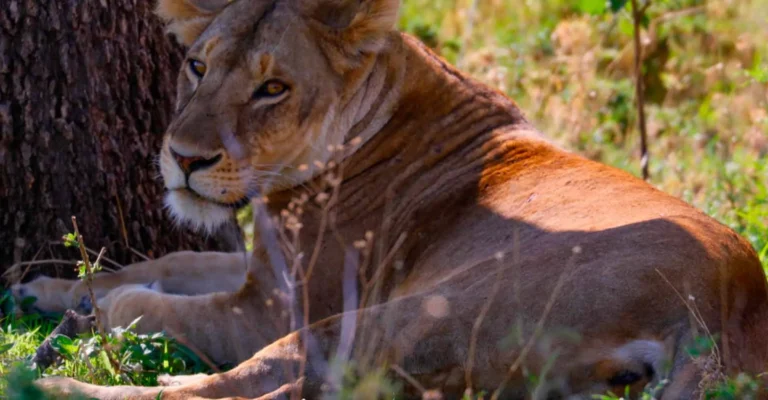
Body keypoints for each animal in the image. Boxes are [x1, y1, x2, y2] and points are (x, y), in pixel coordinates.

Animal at [36, 0, 768, 398]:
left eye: (273, 89)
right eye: (197, 66)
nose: (184, 160)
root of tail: (732, 300)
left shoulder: (271, 307)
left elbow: (166, 302)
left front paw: (97, 311)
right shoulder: (264, 267)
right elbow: (170, 263)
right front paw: (45, 288)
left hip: (400, 316)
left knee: (251, 389)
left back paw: (61, 383)